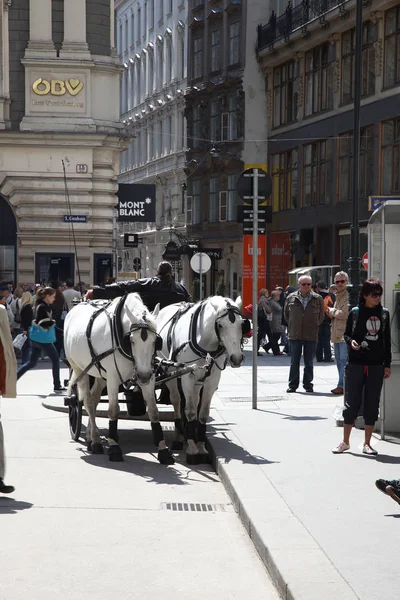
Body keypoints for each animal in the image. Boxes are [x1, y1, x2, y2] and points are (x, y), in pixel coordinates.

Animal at [63, 290, 173, 464]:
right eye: (131, 340)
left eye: (156, 341)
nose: (142, 376)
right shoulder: (114, 377)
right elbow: (113, 410)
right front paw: (114, 447)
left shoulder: (149, 375)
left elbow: (154, 411)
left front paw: (163, 450)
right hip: (79, 369)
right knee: (87, 402)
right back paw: (96, 441)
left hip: (100, 373)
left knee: (94, 399)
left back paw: (90, 438)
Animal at [155, 296, 248, 464]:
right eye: (220, 325)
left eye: (242, 324)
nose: (236, 358)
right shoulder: (187, 377)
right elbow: (191, 411)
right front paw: (192, 450)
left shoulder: (212, 380)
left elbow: (202, 413)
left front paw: (201, 447)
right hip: (171, 373)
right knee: (177, 402)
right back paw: (178, 439)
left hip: (198, 381)